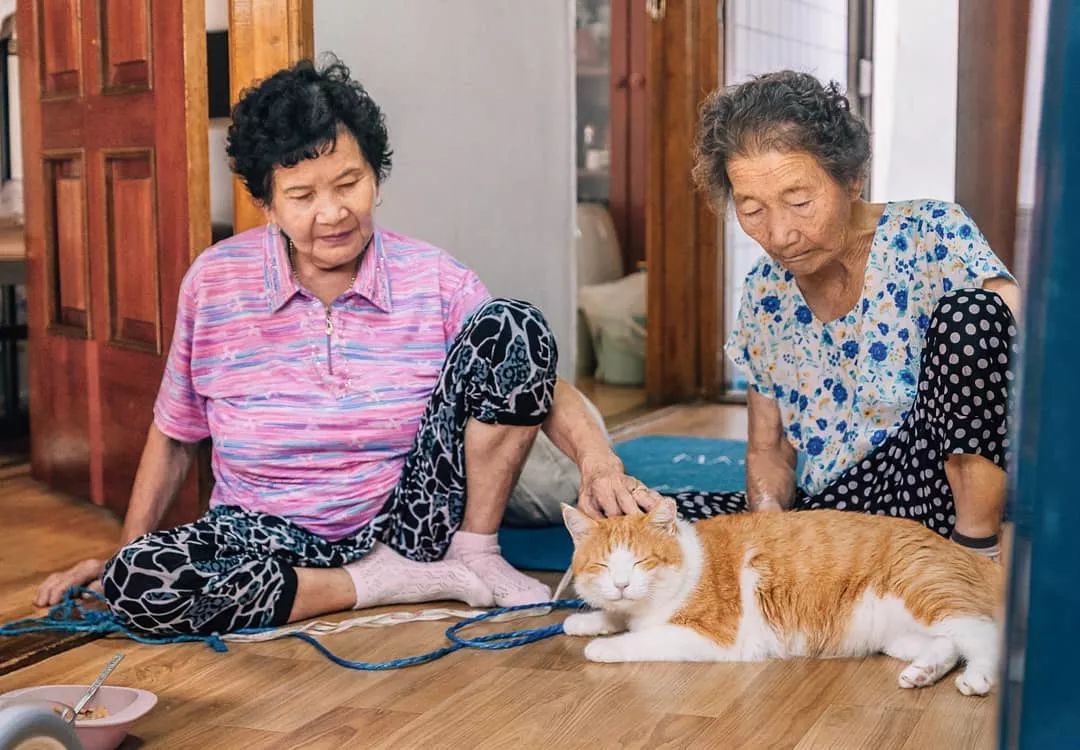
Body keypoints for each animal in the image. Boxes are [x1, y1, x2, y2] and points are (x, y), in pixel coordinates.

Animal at [565, 499, 1002, 700]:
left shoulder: (712, 636)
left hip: (926, 594)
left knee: (984, 637)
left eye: (642, 561)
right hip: (896, 635)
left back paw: (977, 677)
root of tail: (955, 548)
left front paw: (603, 647)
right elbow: (614, 616)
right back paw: (924, 672)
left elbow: (641, 637)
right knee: (947, 646)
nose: (622, 584)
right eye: (603, 565)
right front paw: (585, 620)